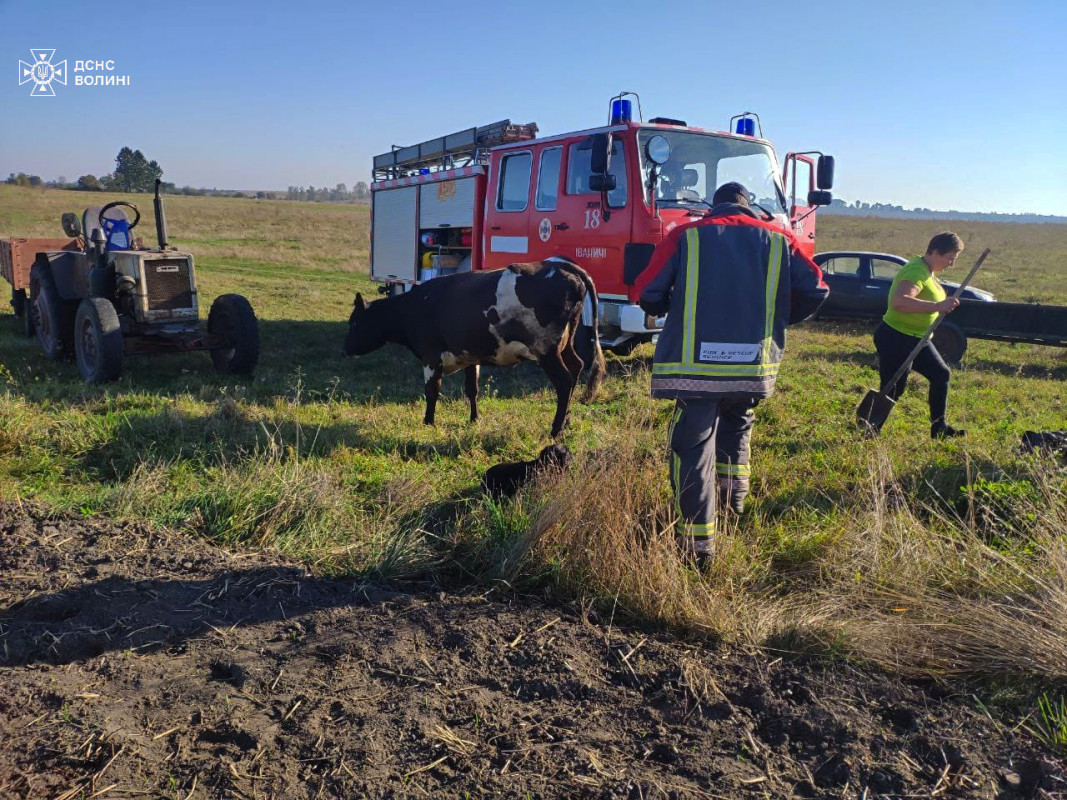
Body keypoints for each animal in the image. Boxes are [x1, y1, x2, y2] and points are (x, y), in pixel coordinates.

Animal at [345, 261, 606, 439]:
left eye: (354, 323)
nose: (345, 349)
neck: (415, 306)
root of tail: (556, 264)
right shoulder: (471, 356)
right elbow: (472, 390)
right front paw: (474, 419)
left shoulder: (431, 356)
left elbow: (432, 391)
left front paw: (428, 422)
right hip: (565, 343)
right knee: (576, 367)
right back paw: (567, 421)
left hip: (547, 350)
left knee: (564, 381)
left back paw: (555, 429)